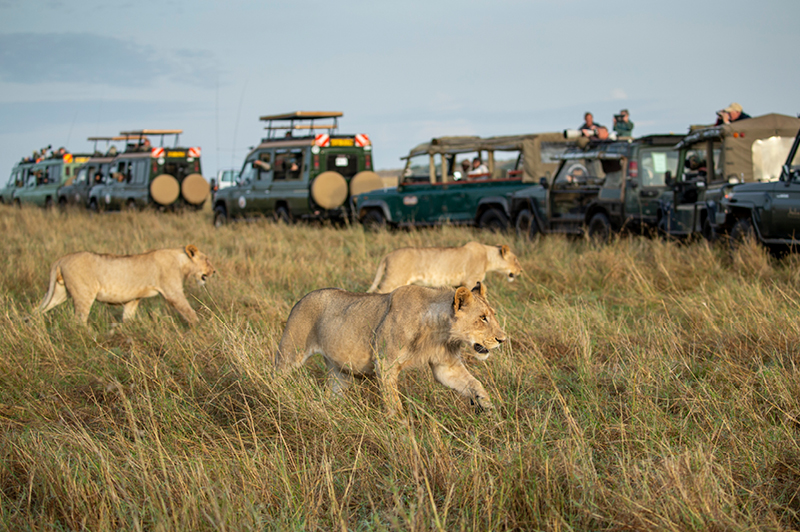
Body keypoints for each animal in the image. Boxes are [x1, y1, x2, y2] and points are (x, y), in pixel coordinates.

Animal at [37, 244, 214, 324]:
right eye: (207, 260)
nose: (214, 271)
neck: (181, 260)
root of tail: (61, 259)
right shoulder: (173, 292)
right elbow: (189, 311)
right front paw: (200, 327)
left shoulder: (133, 299)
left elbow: (128, 317)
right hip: (84, 295)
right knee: (79, 321)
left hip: (59, 293)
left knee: (38, 309)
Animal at [276, 280, 506, 414]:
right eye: (482, 318)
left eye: (492, 315)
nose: (502, 339)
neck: (439, 331)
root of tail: (301, 298)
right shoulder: (384, 364)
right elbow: (394, 404)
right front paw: (403, 433)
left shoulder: (446, 367)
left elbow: (475, 384)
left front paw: (490, 408)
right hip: (290, 353)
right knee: (278, 375)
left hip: (339, 372)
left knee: (332, 394)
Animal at [366, 242, 520, 296]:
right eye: (515, 259)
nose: (521, 271)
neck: (488, 257)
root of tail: (388, 254)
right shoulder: (470, 280)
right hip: (393, 280)